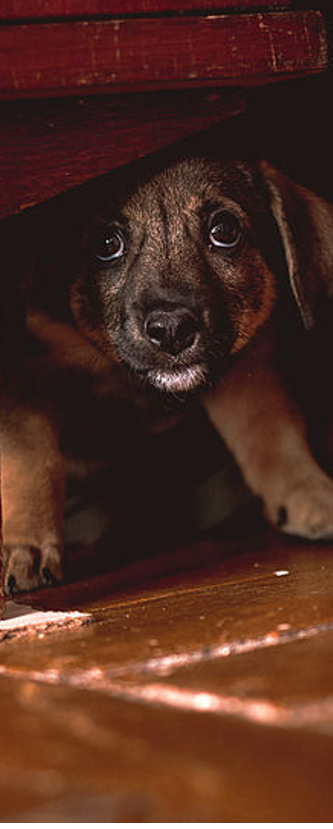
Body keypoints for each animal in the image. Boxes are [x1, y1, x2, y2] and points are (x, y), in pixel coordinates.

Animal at [1, 157, 332, 596]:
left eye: (224, 231)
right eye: (107, 243)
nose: (173, 329)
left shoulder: (244, 370)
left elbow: (270, 431)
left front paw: (308, 493)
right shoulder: (26, 372)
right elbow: (30, 460)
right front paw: (28, 547)